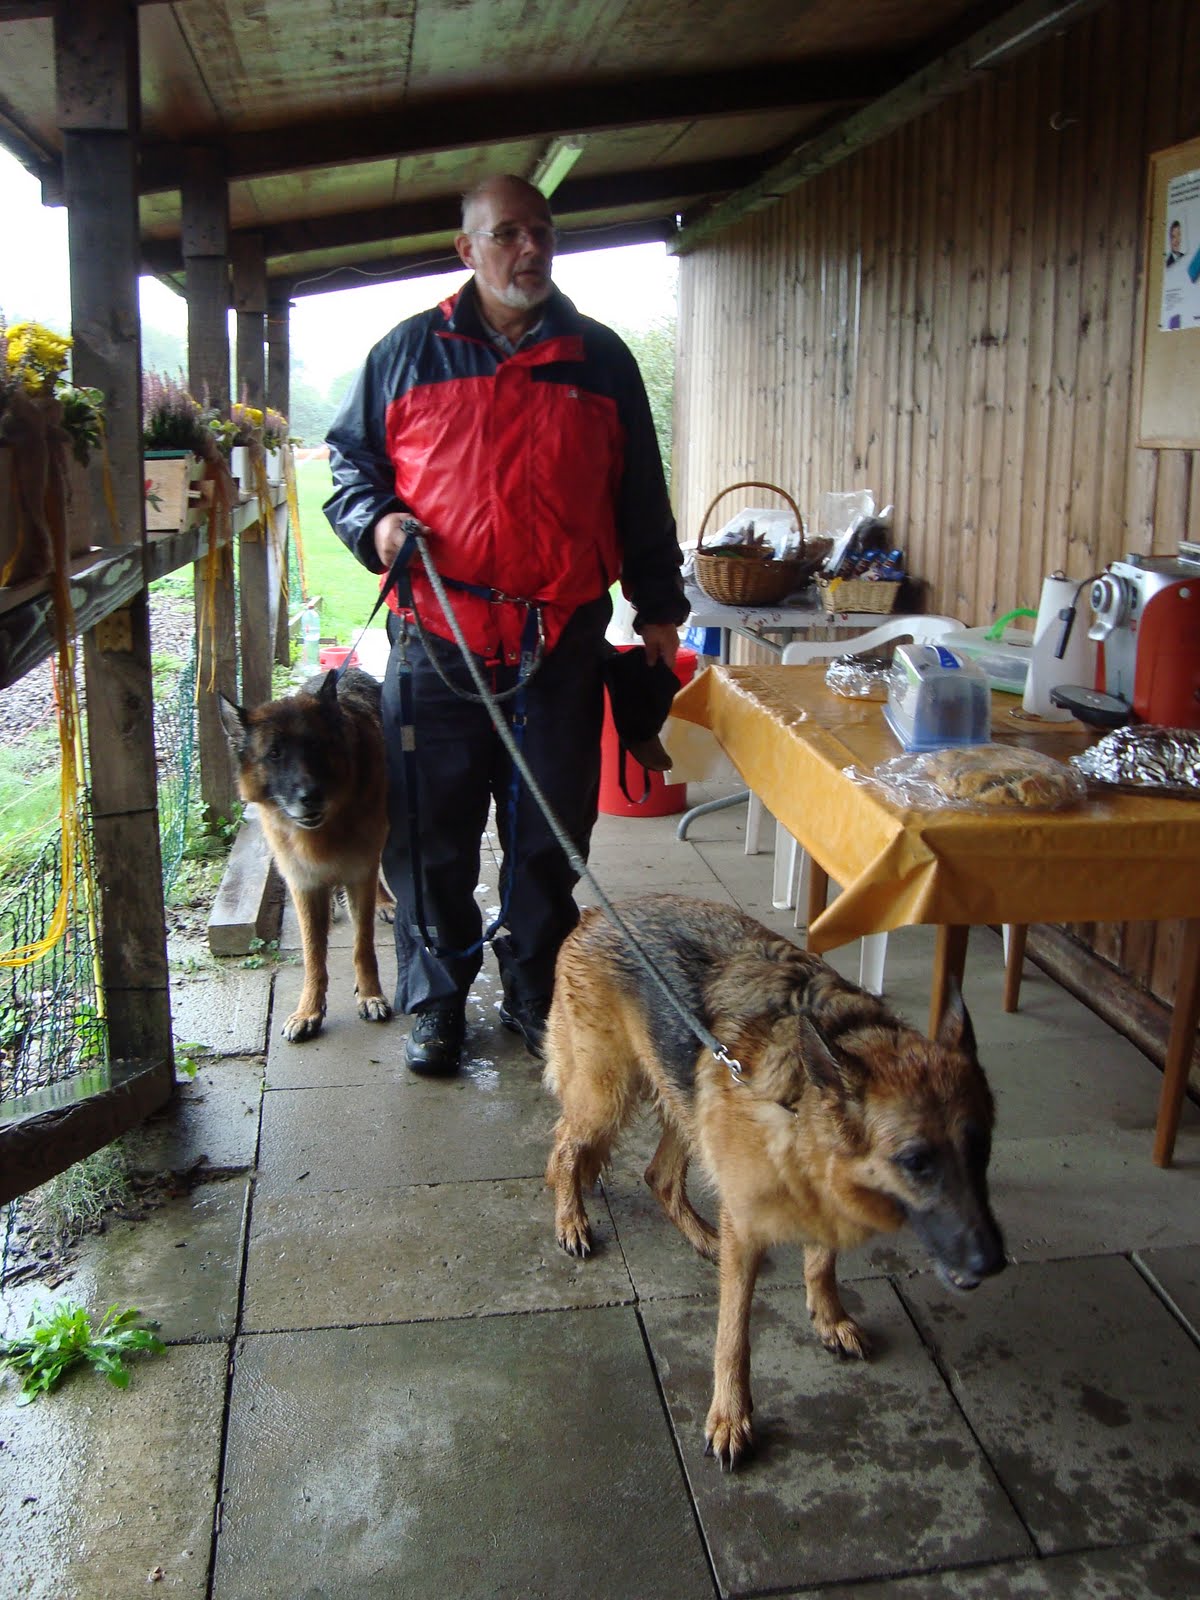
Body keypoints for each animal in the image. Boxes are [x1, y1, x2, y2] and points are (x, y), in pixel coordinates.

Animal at [219, 667, 392, 1042]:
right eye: (274, 754)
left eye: (316, 746)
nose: (310, 797)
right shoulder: (302, 883)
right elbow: (314, 955)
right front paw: (309, 1010)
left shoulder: (360, 872)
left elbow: (363, 944)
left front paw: (370, 994)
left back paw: (383, 901)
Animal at [544, 894, 1005, 1469]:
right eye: (917, 1161)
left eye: (981, 1147)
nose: (993, 1262)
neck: (802, 1101)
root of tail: (595, 914)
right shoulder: (747, 1224)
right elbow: (733, 1334)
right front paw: (730, 1415)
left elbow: (821, 1262)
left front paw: (829, 1316)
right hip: (606, 1094)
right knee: (565, 1148)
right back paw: (571, 1220)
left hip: (683, 1099)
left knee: (660, 1177)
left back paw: (701, 1238)